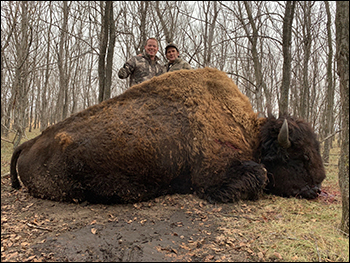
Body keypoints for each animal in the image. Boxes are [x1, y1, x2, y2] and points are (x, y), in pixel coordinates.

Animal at [10, 67, 326, 204]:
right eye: (300, 157)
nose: (317, 187)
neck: (248, 132)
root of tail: (30, 142)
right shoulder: (213, 174)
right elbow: (258, 175)